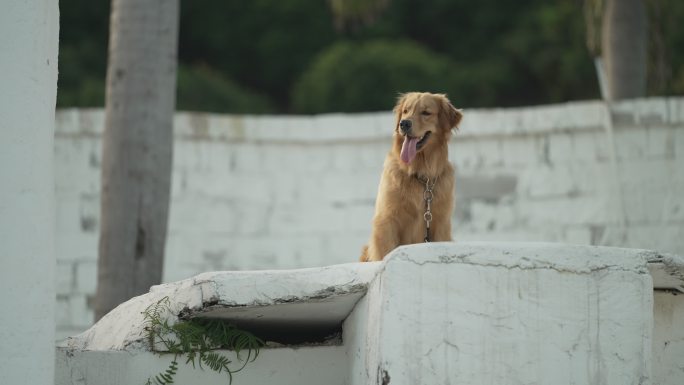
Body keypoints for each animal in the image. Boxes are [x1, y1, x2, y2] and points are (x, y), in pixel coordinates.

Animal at [360, 92, 462, 260]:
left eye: (426, 112)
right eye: (406, 111)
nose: (404, 124)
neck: (420, 173)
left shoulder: (441, 224)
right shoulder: (386, 220)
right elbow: (385, 251)